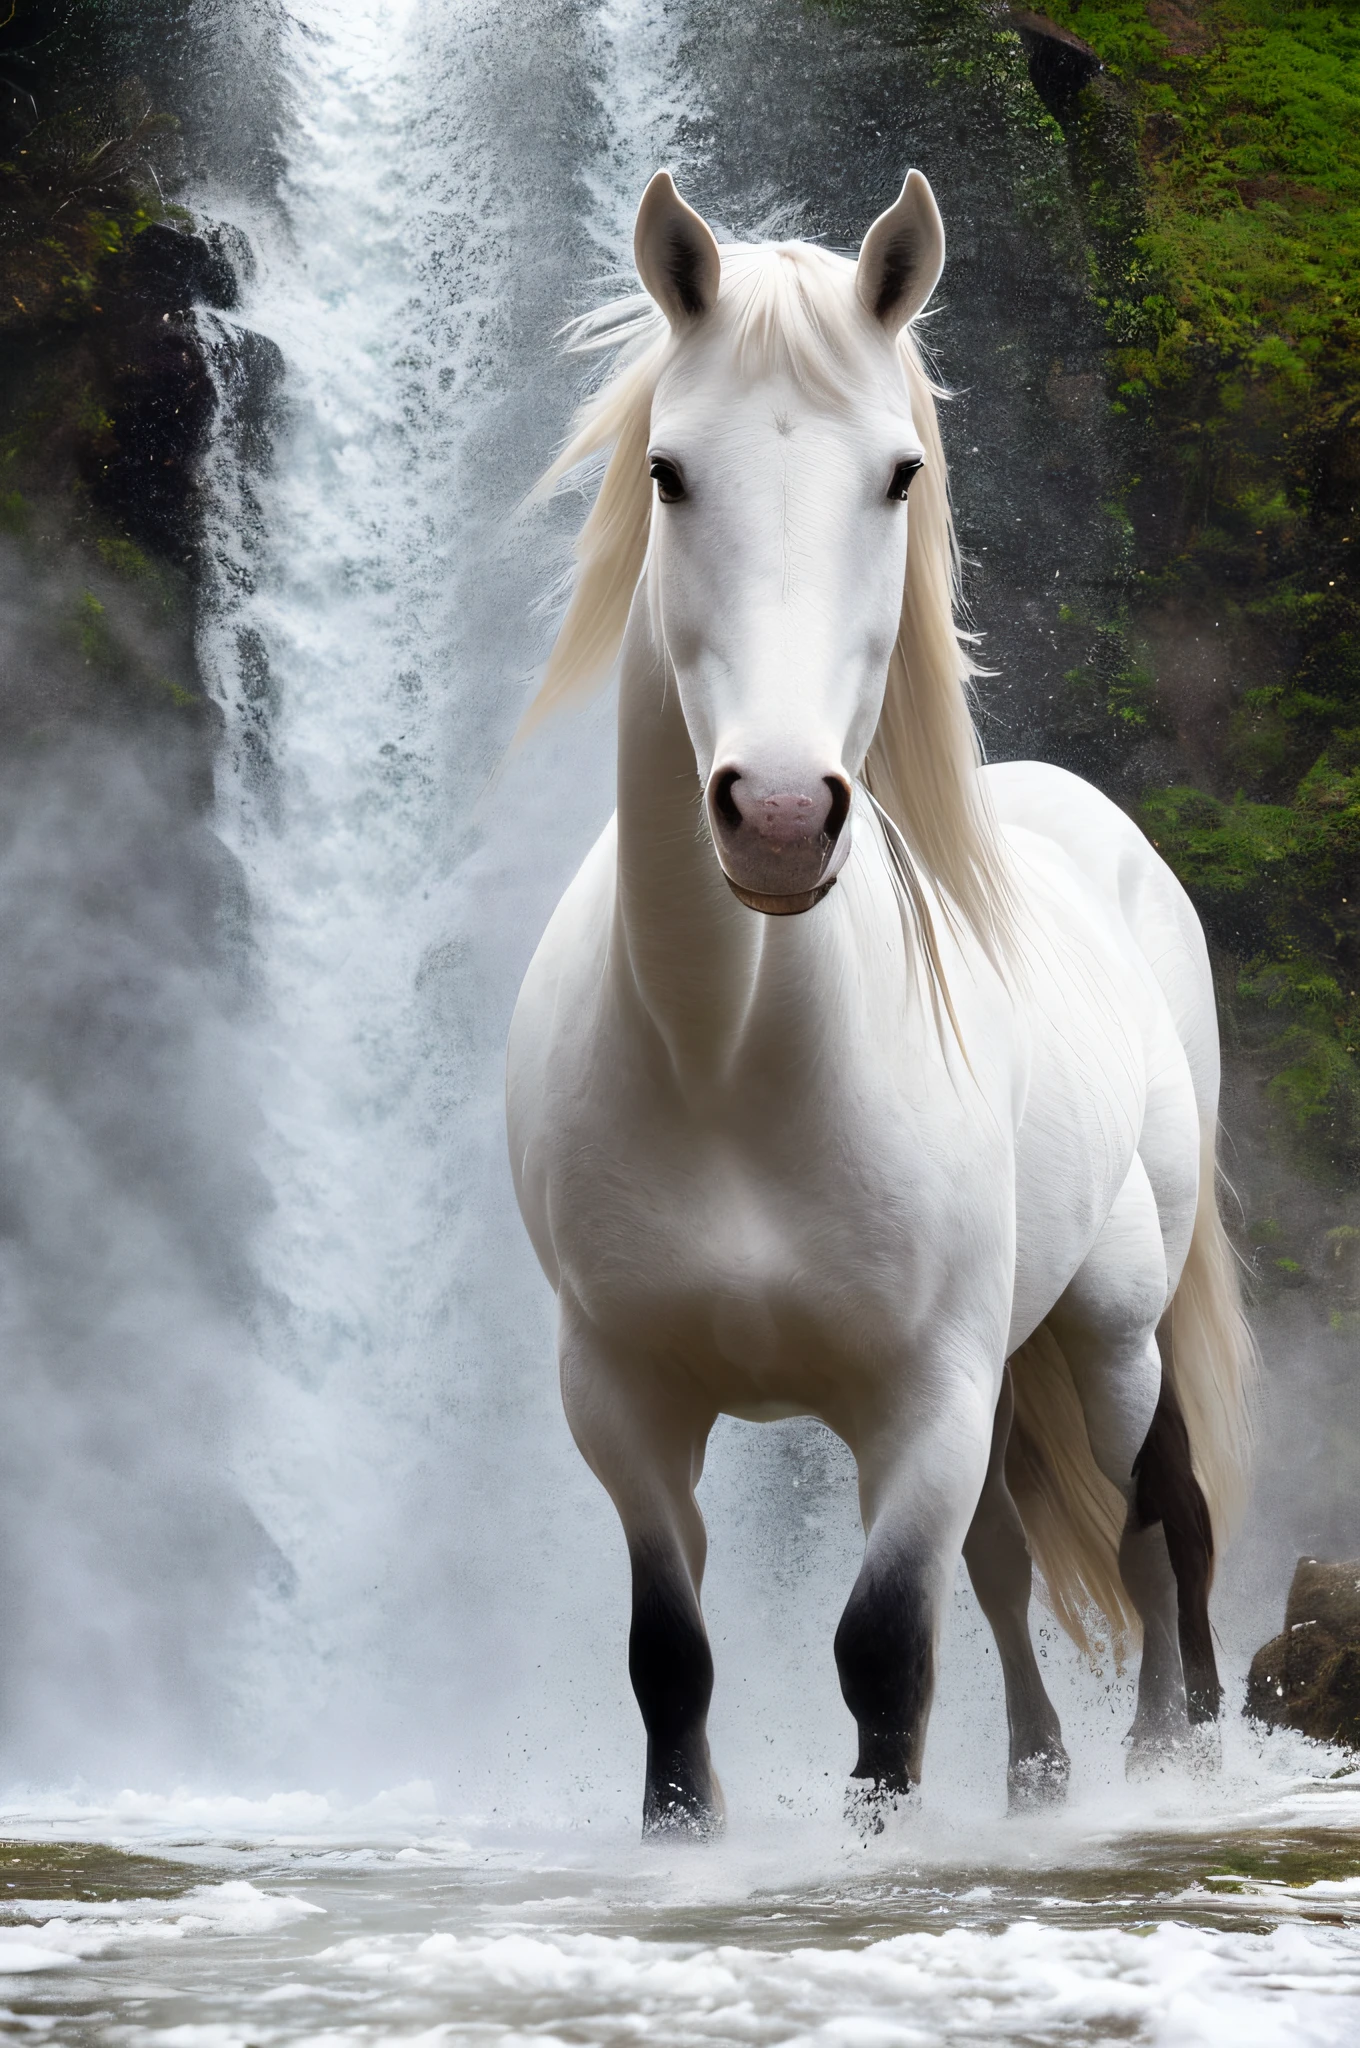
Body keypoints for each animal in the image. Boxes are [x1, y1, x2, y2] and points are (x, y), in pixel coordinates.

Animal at [507, 167, 1253, 1835]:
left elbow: (884, 1652)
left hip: (1111, 1328)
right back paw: (1043, 1776)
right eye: (669, 471)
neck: (732, 1063)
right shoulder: (622, 1401)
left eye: (899, 474)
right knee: (1019, 1559)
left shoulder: (930, 1393)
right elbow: (675, 1659)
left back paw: (1174, 1756)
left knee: (1158, 1515)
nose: (781, 818)